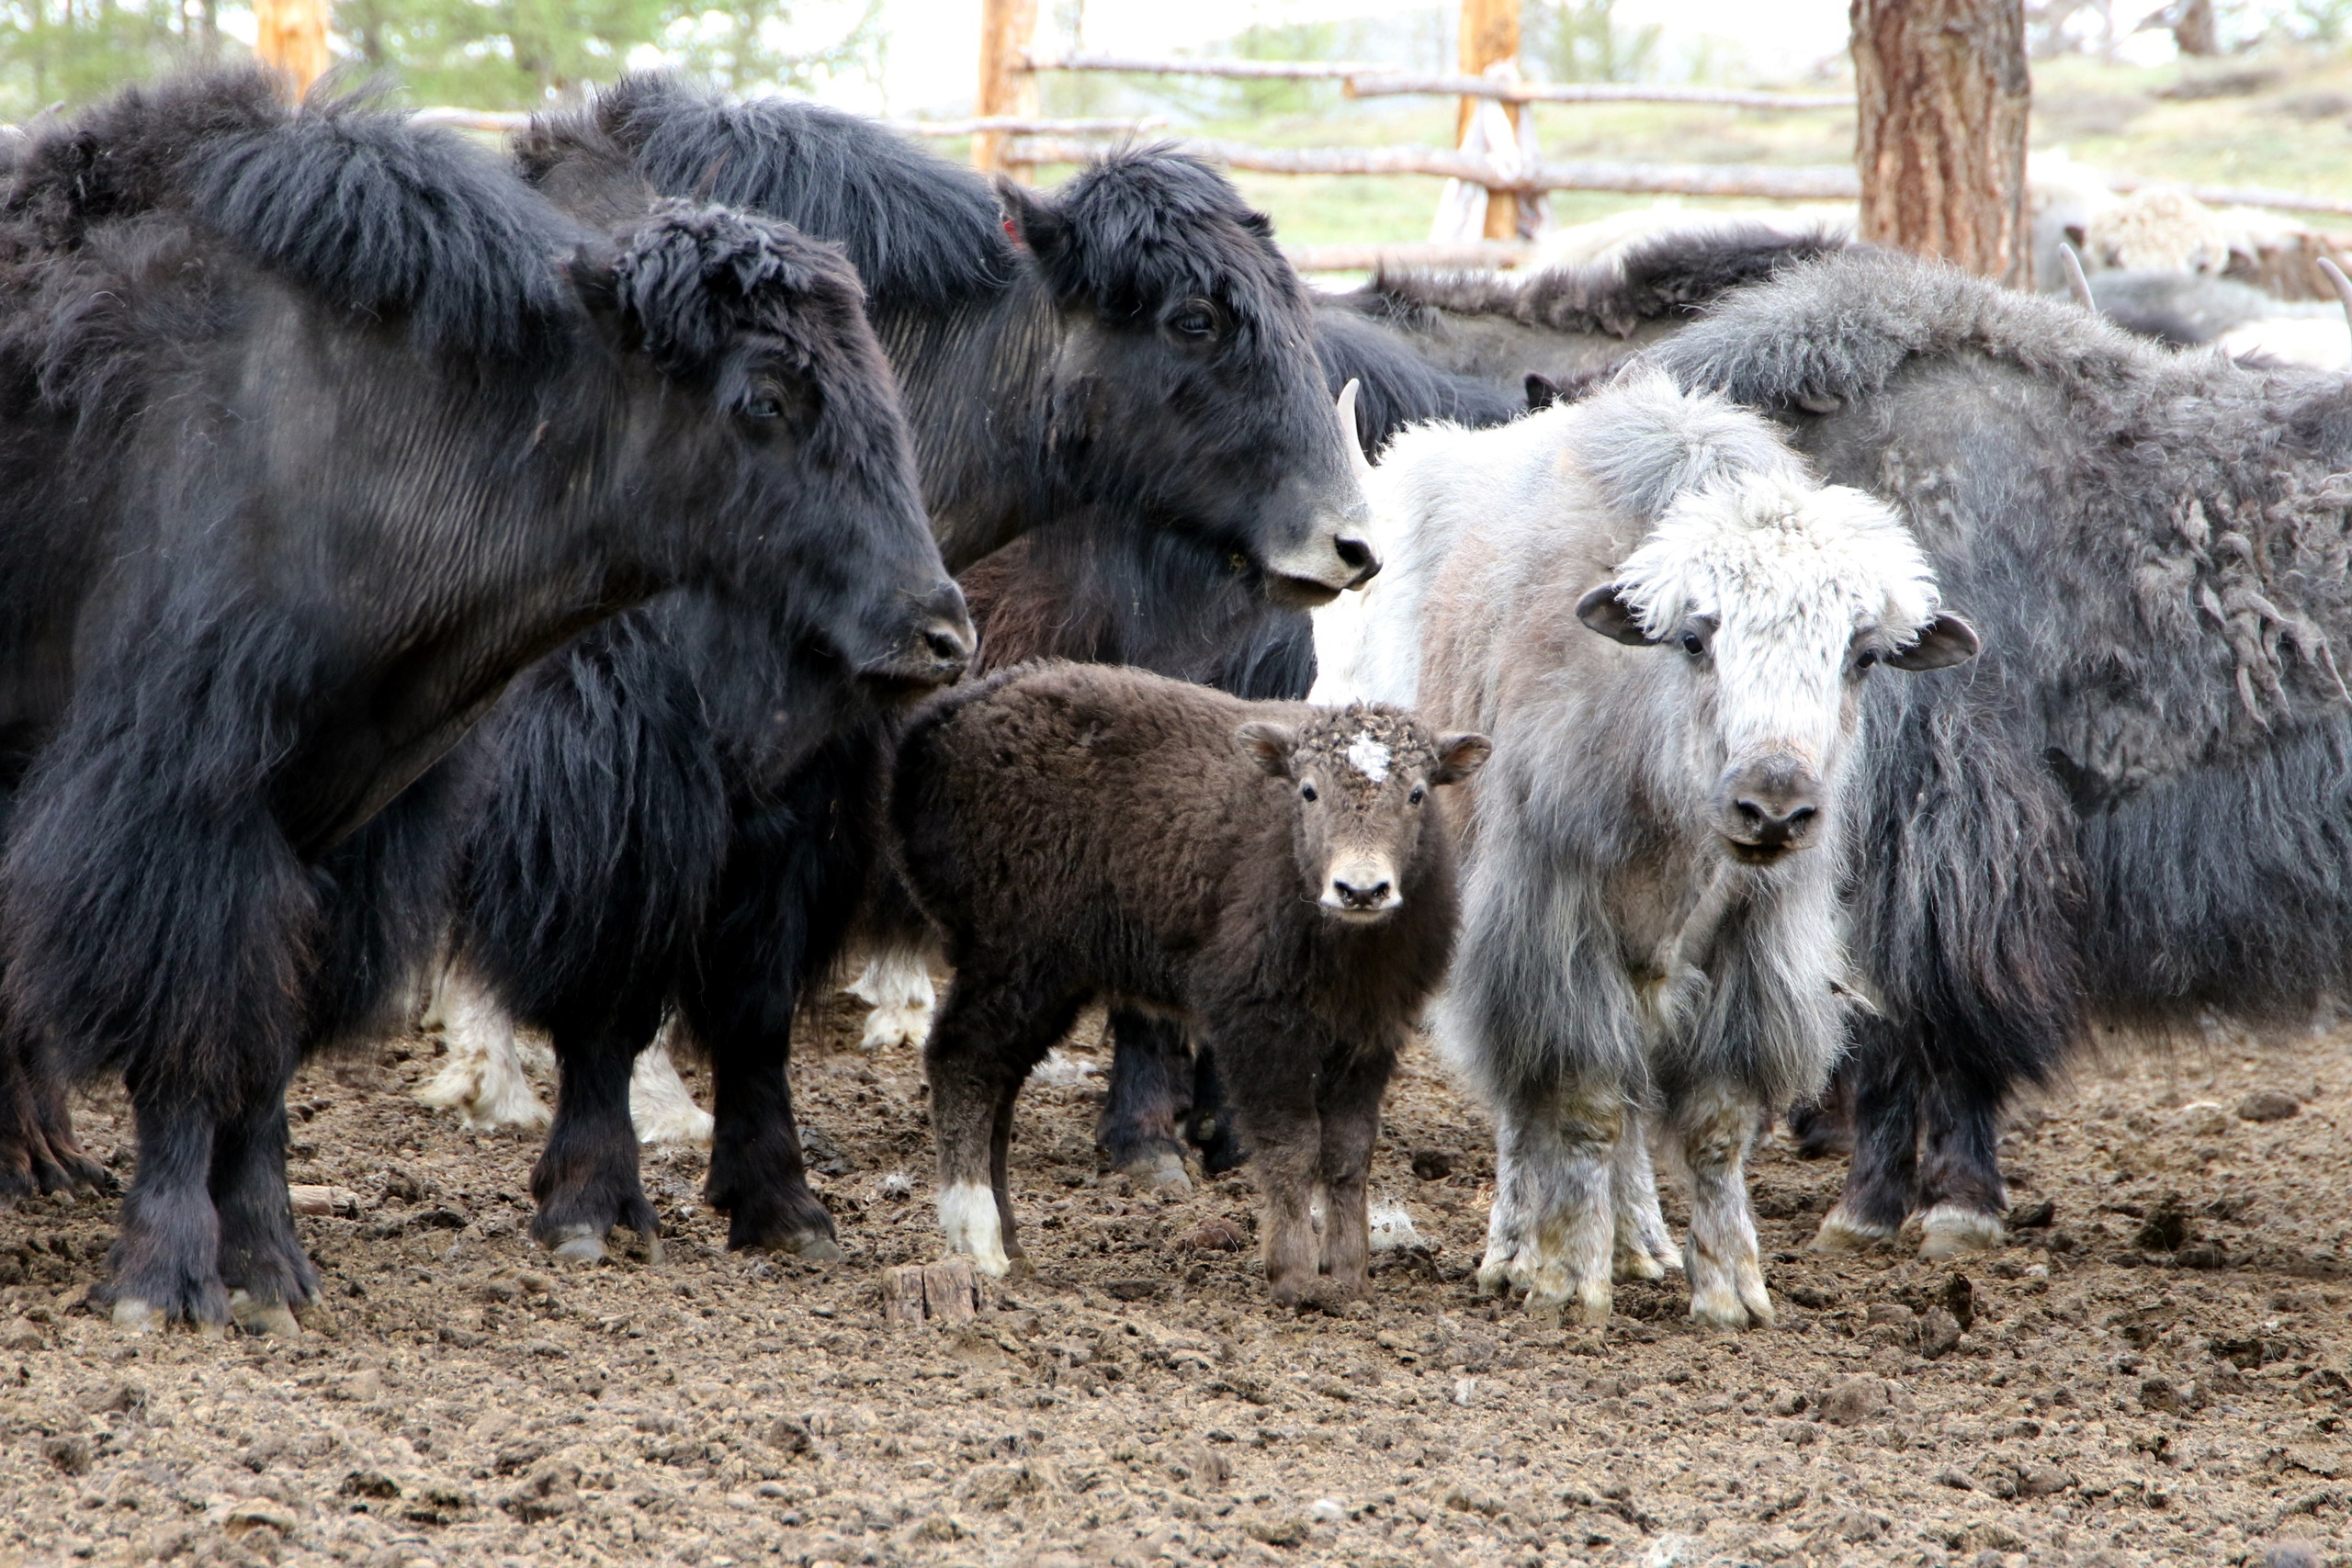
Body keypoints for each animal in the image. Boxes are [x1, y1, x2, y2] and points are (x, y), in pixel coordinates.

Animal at [888, 667, 1476, 1316]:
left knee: (999, 1082)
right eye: (1308, 791)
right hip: (1010, 957)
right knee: (960, 1061)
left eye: (1417, 793)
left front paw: (1348, 1277)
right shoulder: (1258, 1024)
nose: (1361, 889)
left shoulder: (1369, 1034)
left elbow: (1349, 1152)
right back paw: (979, 1240)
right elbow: (1292, 1147)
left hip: (1047, 978)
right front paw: (1295, 1277)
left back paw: (1012, 1246)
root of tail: (944, 720)